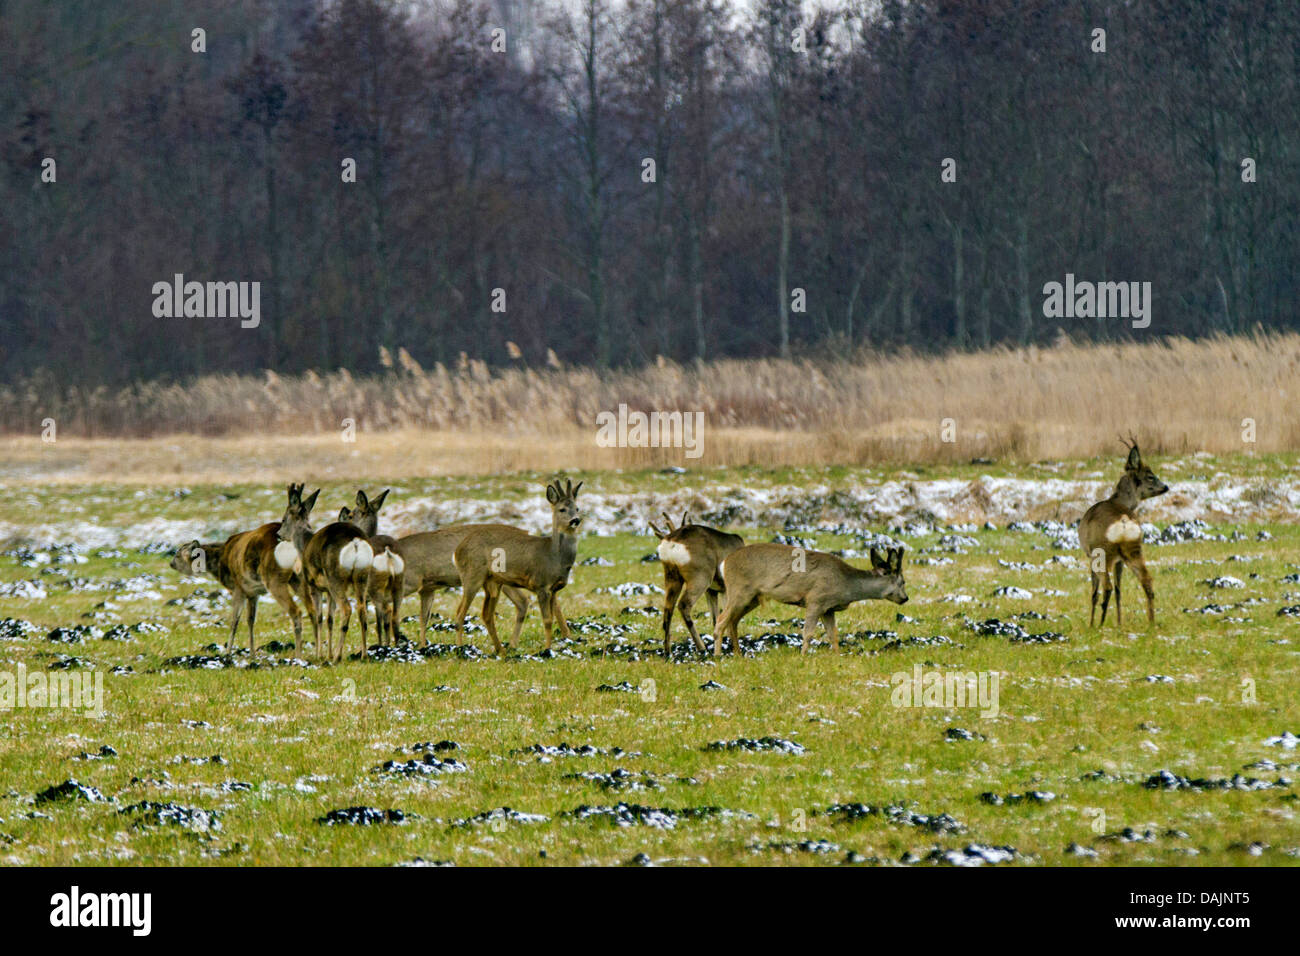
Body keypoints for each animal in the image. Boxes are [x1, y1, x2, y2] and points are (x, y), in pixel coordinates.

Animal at [452, 478, 585, 658]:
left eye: (577, 508)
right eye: (562, 509)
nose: (575, 520)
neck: (554, 557)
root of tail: (457, 550)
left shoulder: (554, 589)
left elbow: (552, 617)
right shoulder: (541, 585)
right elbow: (547, 620)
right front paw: (547, 649)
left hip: (493, 583)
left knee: (486, 615)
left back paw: (501, 650)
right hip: (472, 576)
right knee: (460, 613)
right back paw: (461, 650)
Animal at [647, 512, 743, 660]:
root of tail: (673, 542)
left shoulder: (712, 591)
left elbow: (715, 618)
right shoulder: (726, 588)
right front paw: (735, 650)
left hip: (672, 577)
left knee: (668, 610)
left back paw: (668, 653)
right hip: (700, 577)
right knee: (683, 605)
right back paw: (701, 648)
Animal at [712, 546, 904, 658]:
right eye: (903, 582)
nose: (905, 598)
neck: (845, 584)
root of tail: (724, 563)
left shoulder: (828, 608)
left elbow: (833, 634)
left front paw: (837, 656)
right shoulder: (815, 600)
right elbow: (808, 633)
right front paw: (803, 656)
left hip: (752, 598)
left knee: (732, 621)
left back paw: (738, 654)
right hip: (740, 590)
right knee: (721, 619)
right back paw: (718, 656)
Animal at [1076, 434, 1170, 629]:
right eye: (1150, 476)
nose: (1165, 487)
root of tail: (1124, 520)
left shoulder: (1089, 555)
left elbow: (1095, 592)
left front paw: (1091, 623)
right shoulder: (1120, 560)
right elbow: (1120, 590)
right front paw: (1120, 622)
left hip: (1101, 552)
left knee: (1107, 587)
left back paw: (1099, 624)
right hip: (1133, 549)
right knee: (1146, 580)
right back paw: (1151, 621)